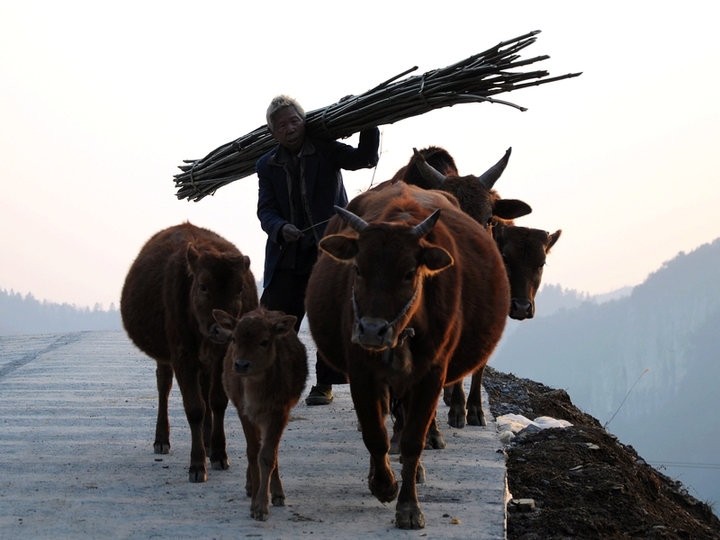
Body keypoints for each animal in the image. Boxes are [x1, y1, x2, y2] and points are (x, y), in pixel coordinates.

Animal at [121, 221, 258, 484]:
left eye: (239, 289)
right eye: (203, 286)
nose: (223, 329)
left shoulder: (222, 355)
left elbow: (217, 402)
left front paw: (219, 454)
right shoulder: (182, 355)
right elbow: (194, 408)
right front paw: (197, 465)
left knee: (205, 391)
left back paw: (207, 441)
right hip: (166, 356)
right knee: (163, 386)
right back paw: (162, 439)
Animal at [211, 308, 306, 524]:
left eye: (264, 341)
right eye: (234, 339)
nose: (241, 364)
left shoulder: (280, 410)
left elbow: (268, 455)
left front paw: (262, 506)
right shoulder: (244, 410)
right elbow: (253, 452)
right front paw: (255, 501)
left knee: (271, 450)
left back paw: (277, 494)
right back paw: (250, 486)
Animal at [306, 181, 510, 528]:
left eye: (408, 273)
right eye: (358, 269)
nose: (371, 331)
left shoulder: (431, 375)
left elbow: (414, 440)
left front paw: (409, 506)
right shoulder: (362, 374)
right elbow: (375, 434)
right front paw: (383, 484)